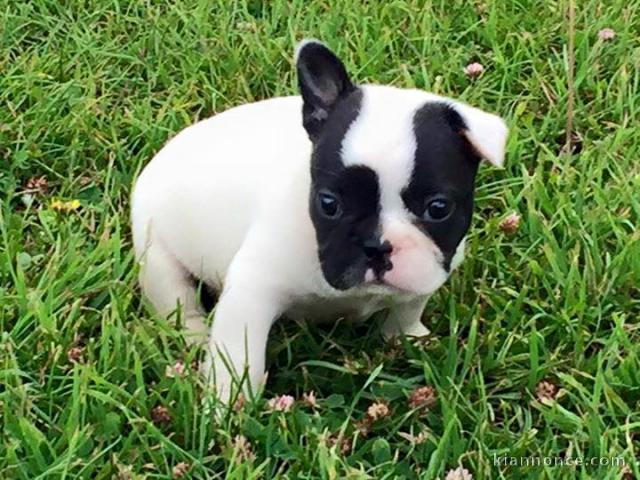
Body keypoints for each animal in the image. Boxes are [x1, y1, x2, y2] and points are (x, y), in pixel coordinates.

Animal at [131, 39, 510, 400]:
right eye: (329, 204)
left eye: (438, 208)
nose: (377, 246)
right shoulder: (252, 291)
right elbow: (238, 357)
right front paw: (226, 405)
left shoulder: (427, 273)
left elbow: (408, 309)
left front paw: (406, 338)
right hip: (156, 251)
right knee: (176, 298)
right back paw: (194, 335)